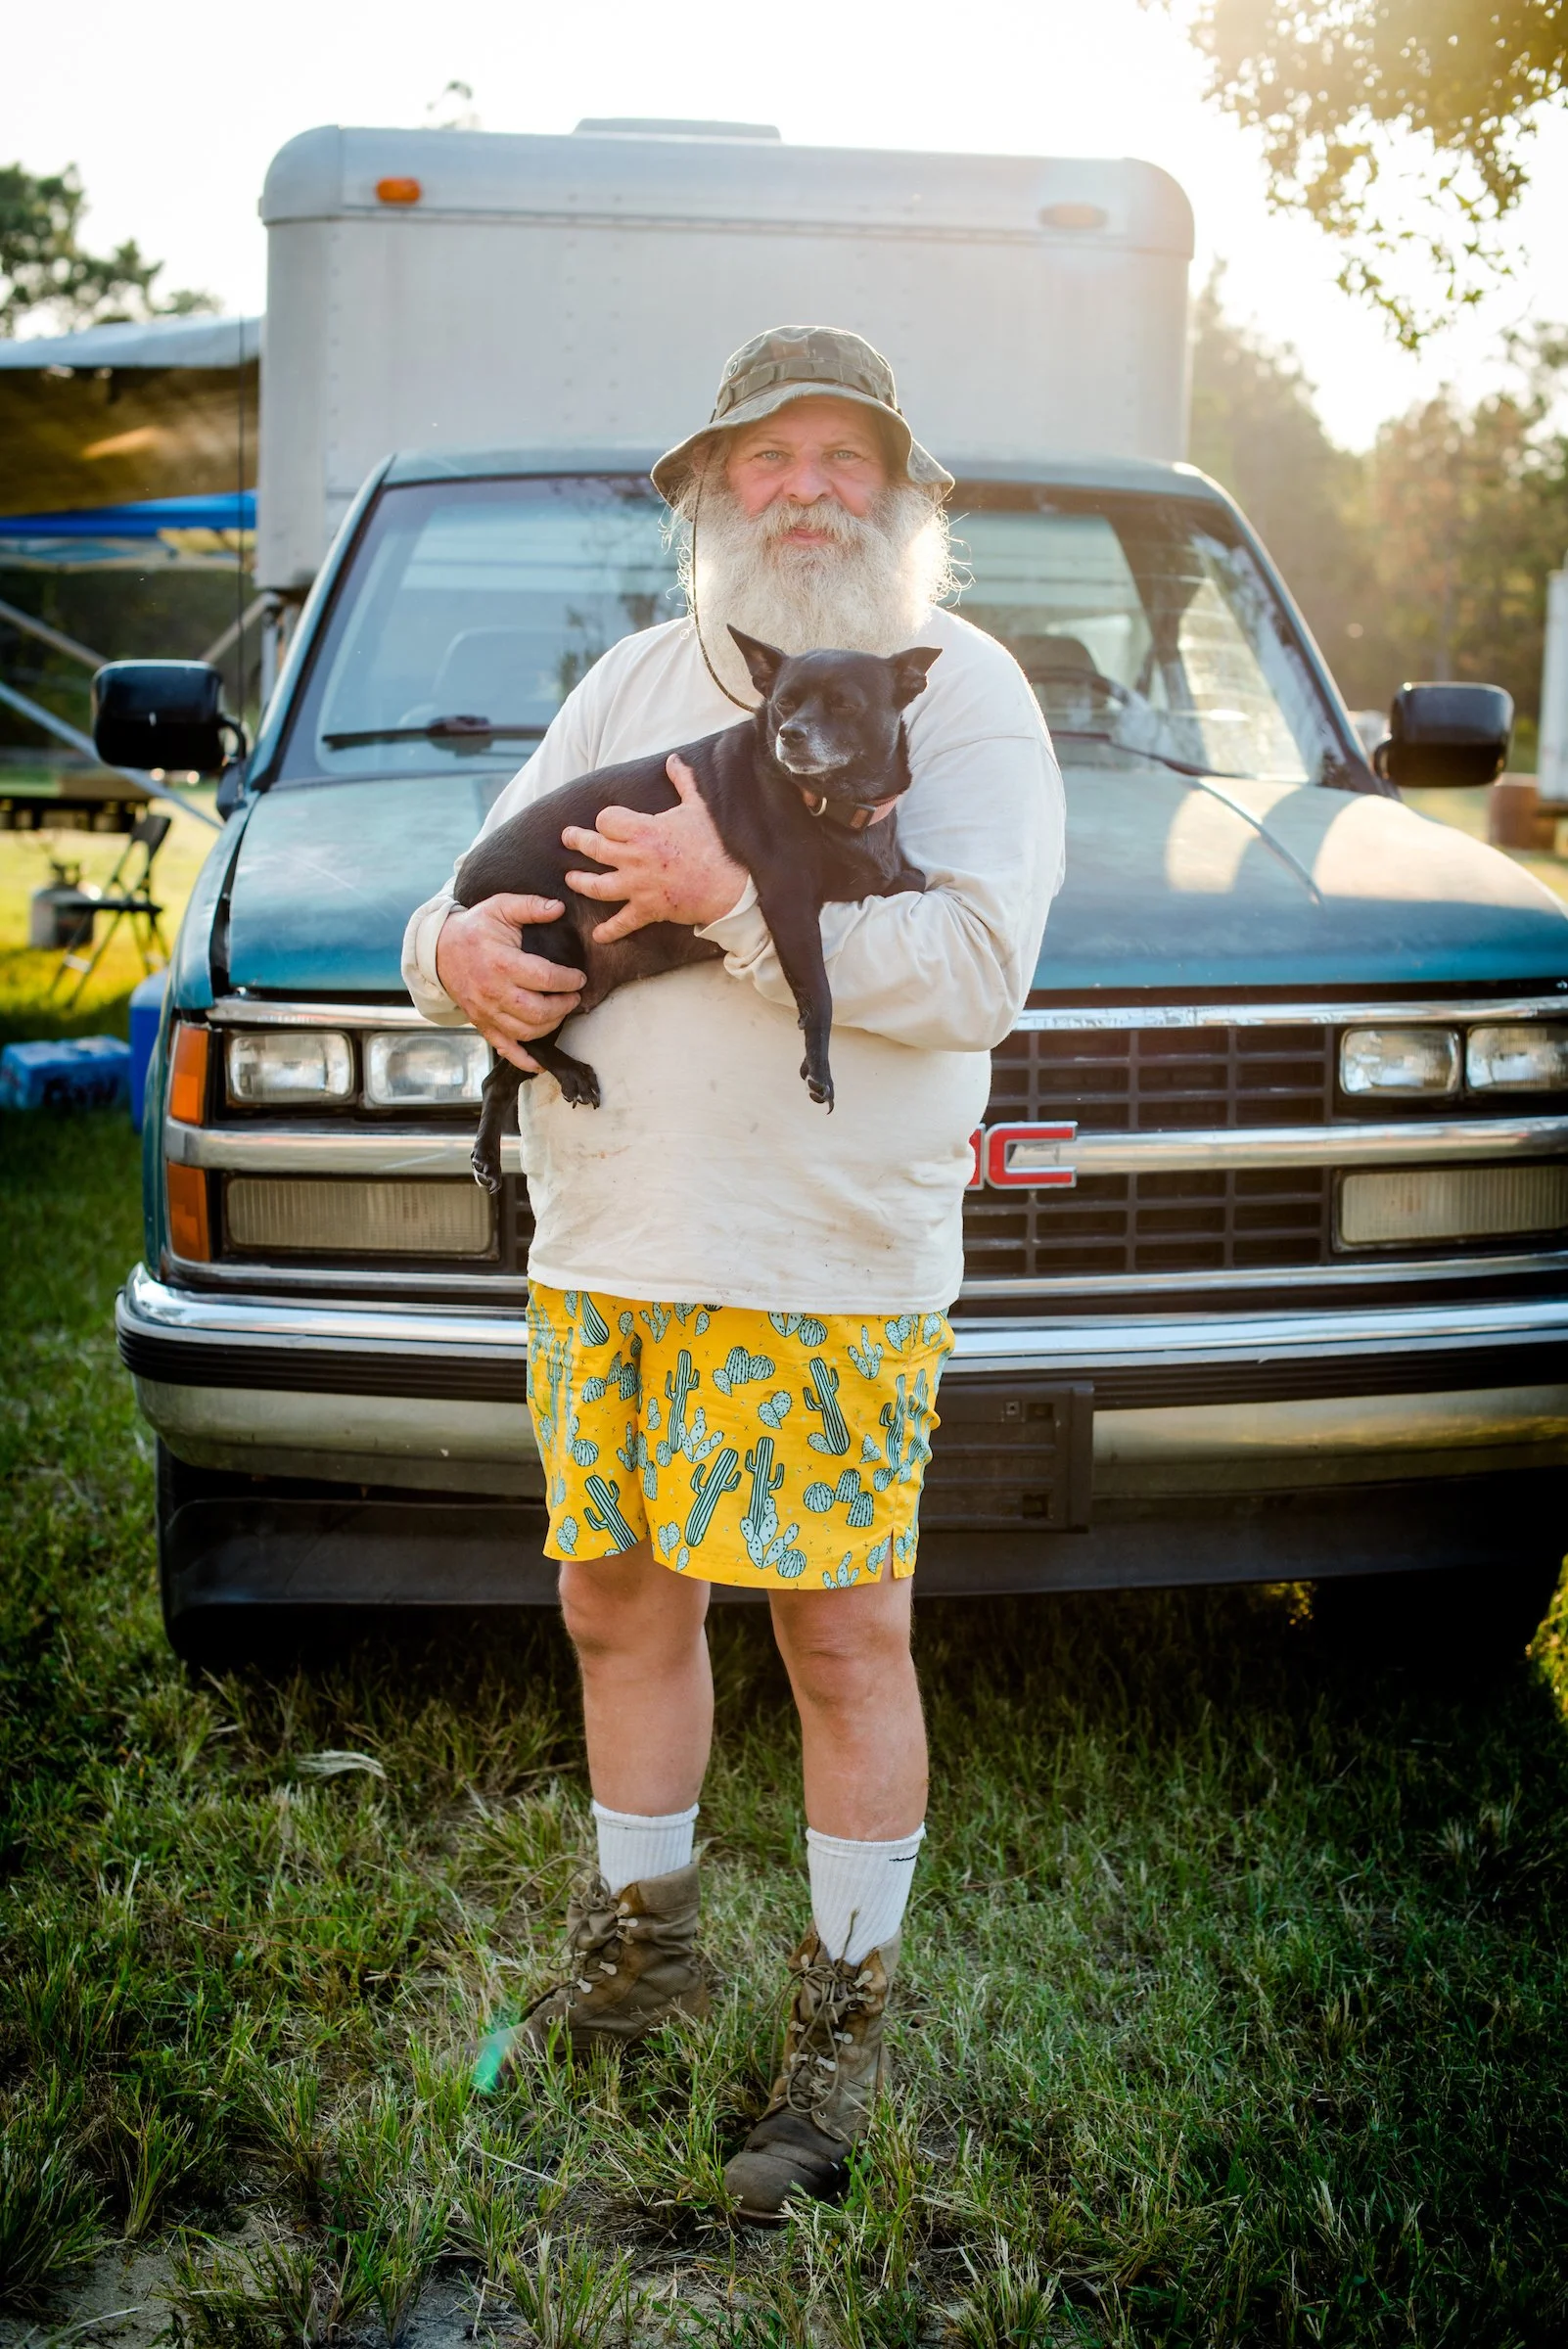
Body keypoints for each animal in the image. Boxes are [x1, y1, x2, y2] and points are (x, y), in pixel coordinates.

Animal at [454, 628, 939, 1193]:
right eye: (782, 704)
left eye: (844, 704)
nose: (790, 734)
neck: (831, 805)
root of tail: (463, 887)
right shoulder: (788, 902)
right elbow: (818, 991)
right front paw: (818, 1067)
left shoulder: (878, 876)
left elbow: (908, 880)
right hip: (551, 965)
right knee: (515, 1057)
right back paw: (569, 1076)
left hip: (563, 992)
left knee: (500, 1073)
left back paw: (490, 1155)